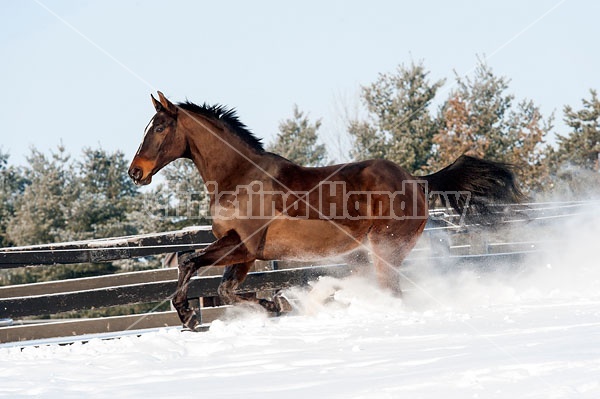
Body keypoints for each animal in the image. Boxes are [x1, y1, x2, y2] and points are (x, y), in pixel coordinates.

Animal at [129, 91, 524, 332]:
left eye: (159, 127)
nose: (135, 172)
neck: (239, 177)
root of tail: (417, 180)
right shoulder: (245, 253)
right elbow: (223, 288)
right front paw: (275, 305)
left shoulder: (244, 245)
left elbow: (189, 260)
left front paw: (187, 315)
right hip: (364, 252)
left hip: (385, 248)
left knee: (393, 292)